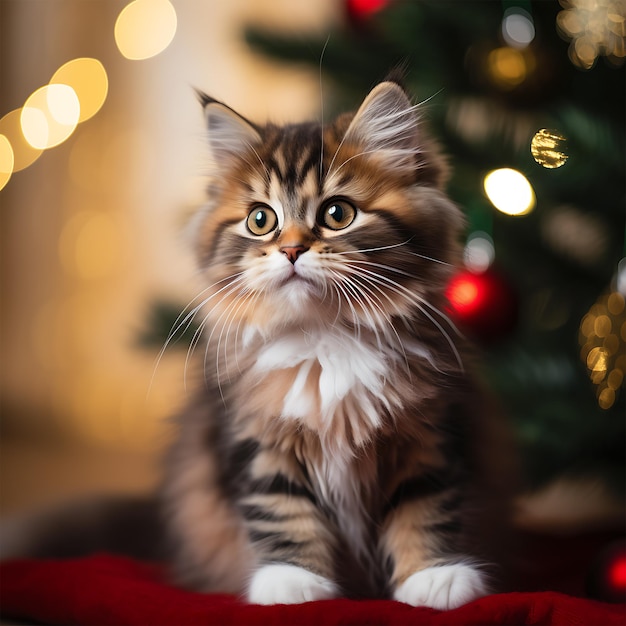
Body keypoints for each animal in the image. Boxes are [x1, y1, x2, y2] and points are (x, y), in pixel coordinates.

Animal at [160, 80, 512, 608]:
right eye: (260, 220)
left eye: (337, 213)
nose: (290, 249)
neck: (327, 338)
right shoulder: (256, 439)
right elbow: (282, 511)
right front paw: (293, 584)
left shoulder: (429, 432)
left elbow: (425, 506)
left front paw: (433, 578)